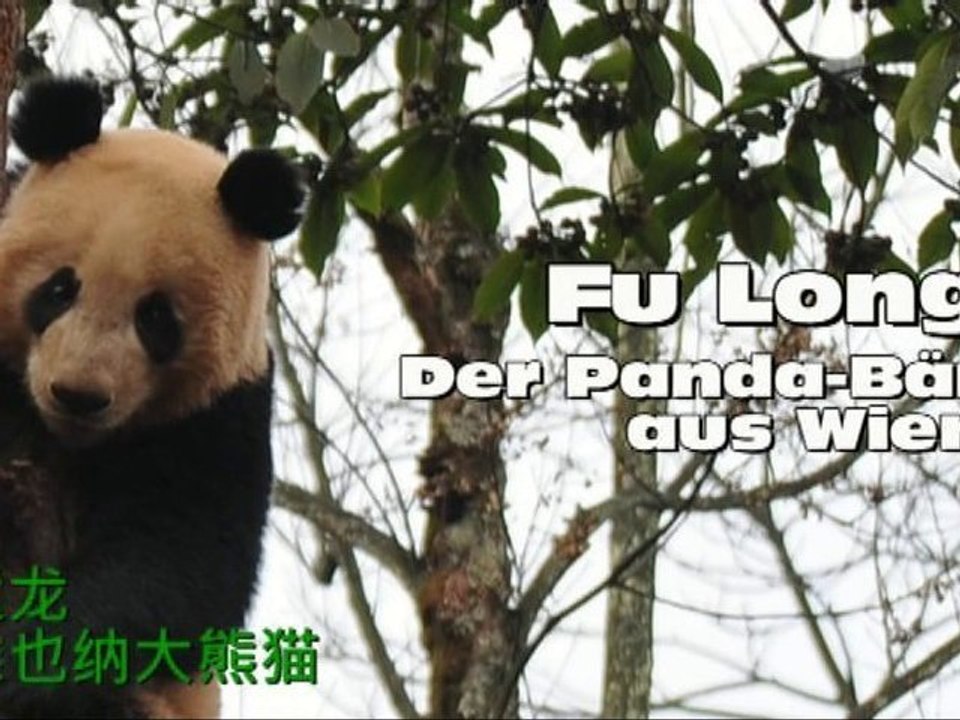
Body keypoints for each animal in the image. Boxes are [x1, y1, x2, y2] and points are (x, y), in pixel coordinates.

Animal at [0, 75, 304, 718]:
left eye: (157, 318)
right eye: (59, 289)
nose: (78, 395)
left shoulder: (219, 415)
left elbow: (180, 560)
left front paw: (23, 663)